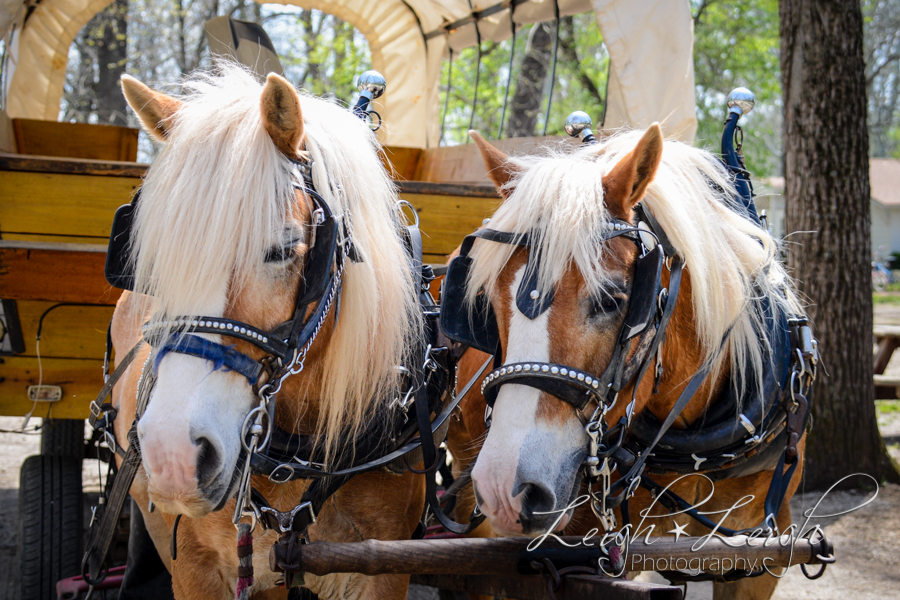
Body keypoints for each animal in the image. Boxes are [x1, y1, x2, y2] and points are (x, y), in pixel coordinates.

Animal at [105, 67, 428, 600]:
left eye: (280, 250)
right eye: (149, 265)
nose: (173, 457)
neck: (295, 454)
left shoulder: (383, 567)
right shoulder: (194, 568)